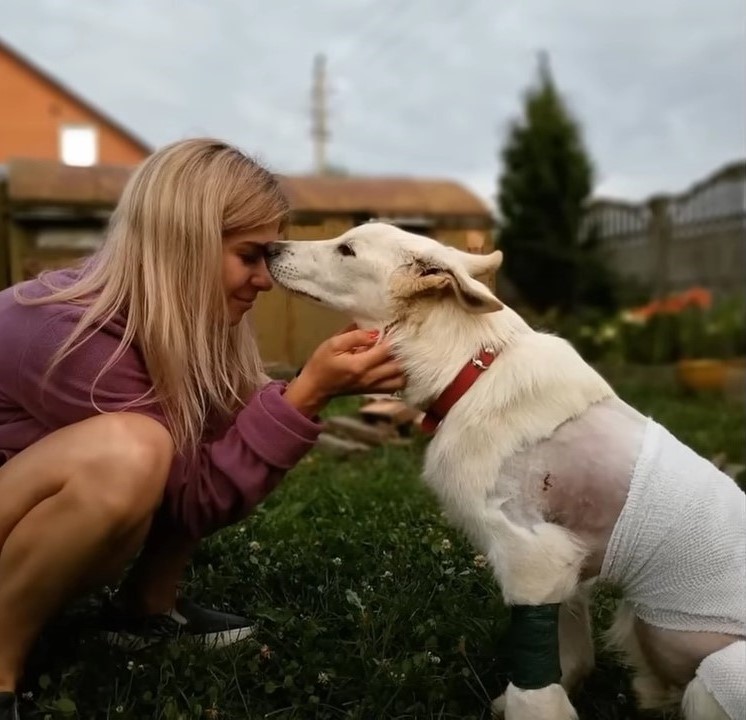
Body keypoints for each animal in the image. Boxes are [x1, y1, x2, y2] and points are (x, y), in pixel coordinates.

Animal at [266, 222, 744, 716]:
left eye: (346, 249)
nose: (268, 247)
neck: (471, 371)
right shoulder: (565, 570)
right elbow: (571, 657)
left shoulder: (531, 557)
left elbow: (536, 691)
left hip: (714, 677)